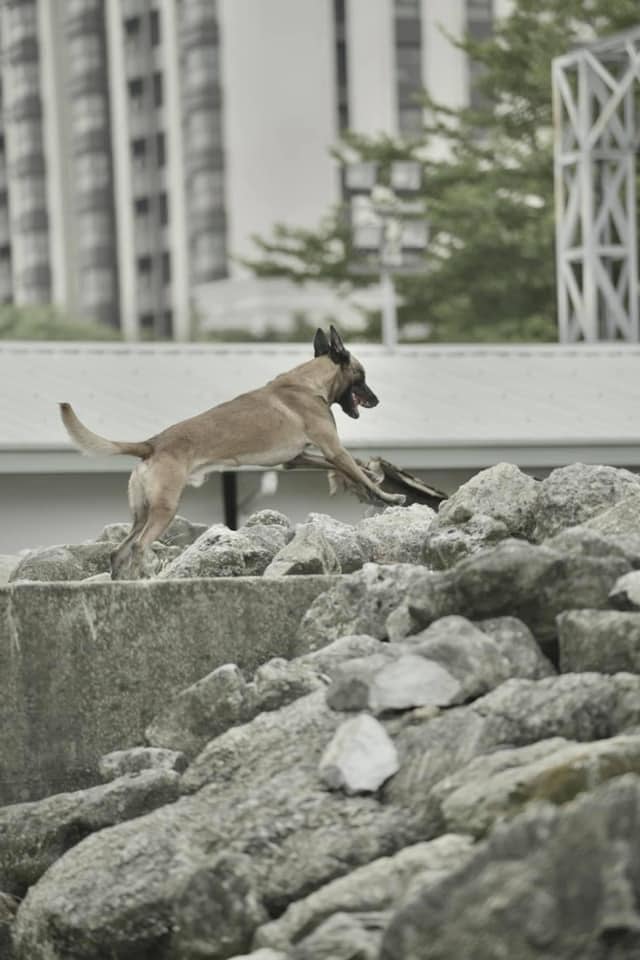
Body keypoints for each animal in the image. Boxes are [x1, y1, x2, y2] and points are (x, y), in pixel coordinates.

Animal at [58, 328, 400, 576]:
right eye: (362, 375)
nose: (377, 400)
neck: (308, 383)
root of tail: (153, 443)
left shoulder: (297, 459)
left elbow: (351, 469)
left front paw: (372, 476)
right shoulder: (333, 448)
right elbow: (351, 468)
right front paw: (388, 495)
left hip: (143, 513)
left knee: (119, 551)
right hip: (164, 510)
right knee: (139, 548)